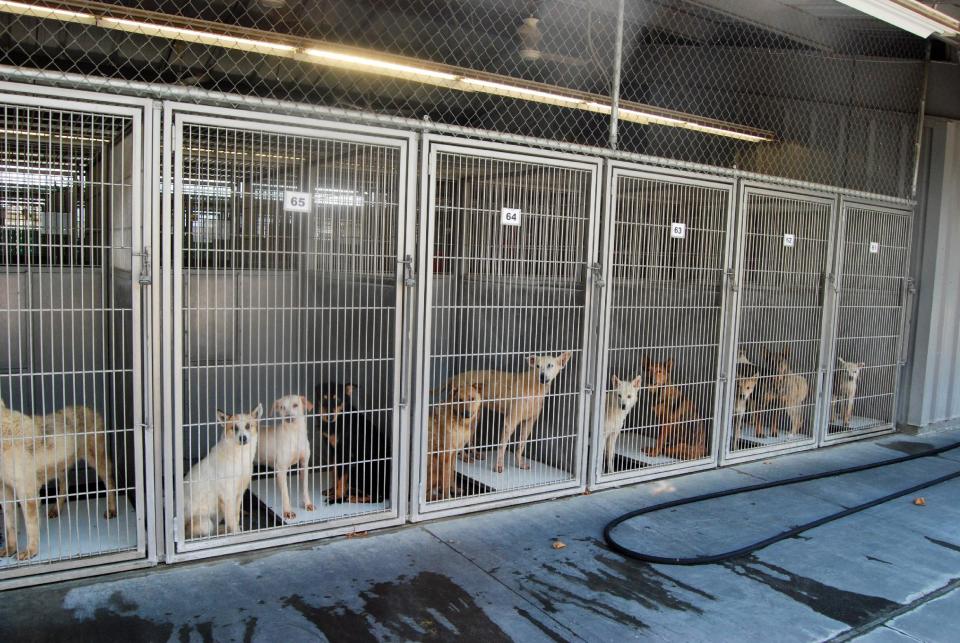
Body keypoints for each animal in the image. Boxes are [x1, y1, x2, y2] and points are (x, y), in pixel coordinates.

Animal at [0, 400, 118, 560]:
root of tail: (86, 407)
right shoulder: (5, 492)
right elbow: (9, 525)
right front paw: (10, 548)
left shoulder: (27, 493)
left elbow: (31, 526)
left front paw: (31, 551)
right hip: (60, 466)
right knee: (65, 485)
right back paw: (56, 509)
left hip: (97, 459)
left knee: (110, 482)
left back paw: (112, 509)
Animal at [182, 408, 258, 540]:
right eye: (234, 428)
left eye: (248, 426)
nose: (243, 438)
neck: (239, 456)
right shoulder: (227, 496)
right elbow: (232, 520)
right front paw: (236, 534)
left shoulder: (238, 494)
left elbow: (235, 517)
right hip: (205, 522)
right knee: (202, 533)